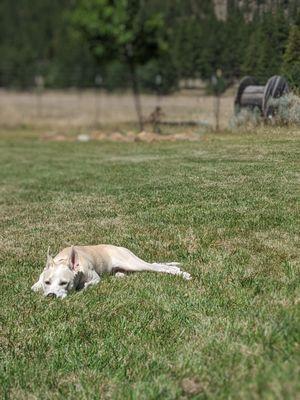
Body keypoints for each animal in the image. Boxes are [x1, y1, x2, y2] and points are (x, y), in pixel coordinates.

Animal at [31, 244, 191, 296]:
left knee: (158, 267)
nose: (51, 296)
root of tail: (119, 247)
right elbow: (34, 287)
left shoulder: (95, 278)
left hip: (132, 263)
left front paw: (81, 289)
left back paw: (180, 272)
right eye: (47, 282)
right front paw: (38, 288)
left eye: (64, 283)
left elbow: (87, 284)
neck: (64, 260)